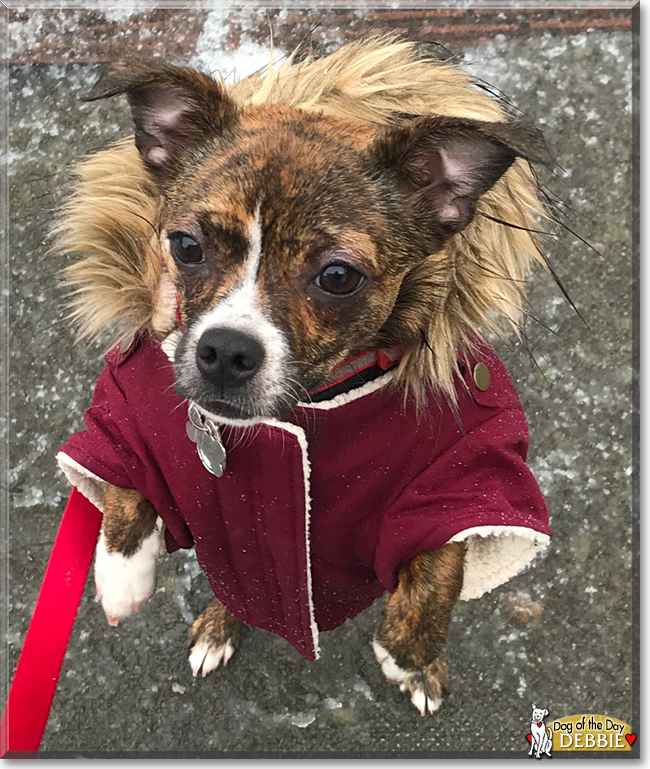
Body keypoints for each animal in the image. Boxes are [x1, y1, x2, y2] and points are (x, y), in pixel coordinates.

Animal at [53, 36, 552, 712]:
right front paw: (121, 566)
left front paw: (411, 651)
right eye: (184, 246)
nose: (225, 350)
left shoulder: (466, 470)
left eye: (338, 277)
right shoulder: (131, 404)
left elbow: (443, 556)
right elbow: (124, 480)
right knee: (239, 592)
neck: (305, 408)